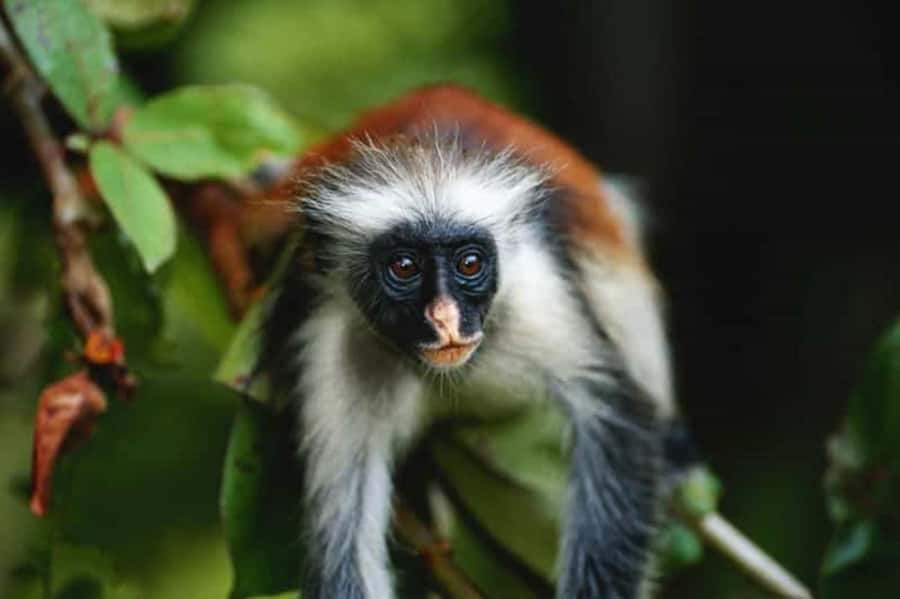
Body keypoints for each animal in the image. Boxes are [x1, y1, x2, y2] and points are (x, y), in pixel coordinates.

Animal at [259, 84, 699, 599]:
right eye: (404, 268)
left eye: (469, 263)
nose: (446, 319)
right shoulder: (337, 341)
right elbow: (342, 543)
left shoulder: (536, 296)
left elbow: (617, 419)